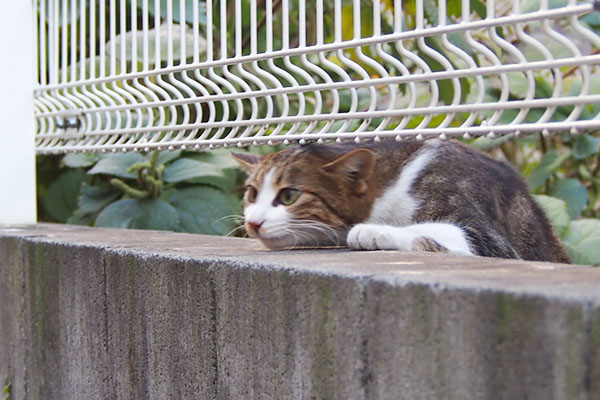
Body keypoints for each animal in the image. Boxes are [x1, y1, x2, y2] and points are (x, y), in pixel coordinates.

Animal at [232, 139, 568, 264]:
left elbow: (441, 231)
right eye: (252, 194)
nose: (253, 222)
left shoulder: (491, 239)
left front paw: (374, 231)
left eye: (289, 196)